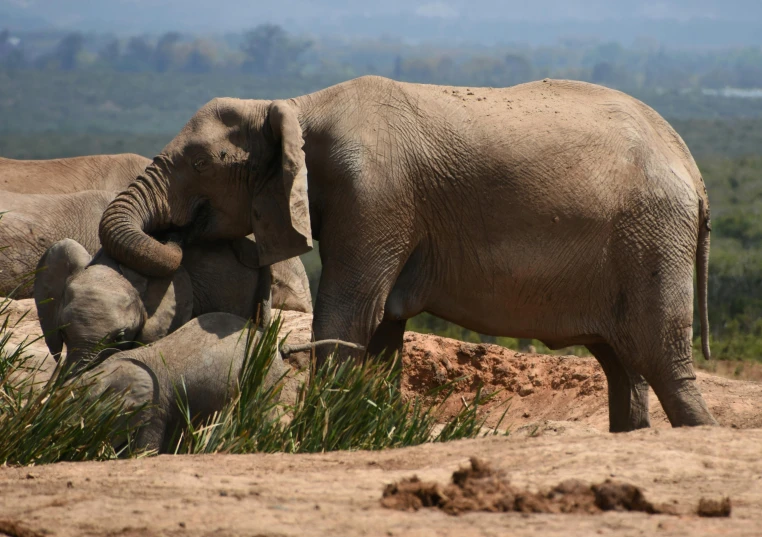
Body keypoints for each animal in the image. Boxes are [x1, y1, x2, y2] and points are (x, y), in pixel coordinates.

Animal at [93, 74, 712, 432]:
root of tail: (691, 163)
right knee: (623, 362)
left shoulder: (372, 195)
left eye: (198, 163)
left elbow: (351, 313)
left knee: (660, 356)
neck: (294, 105)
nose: (175, 238)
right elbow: (384, 325)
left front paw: (311, 435)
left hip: (653, 234)